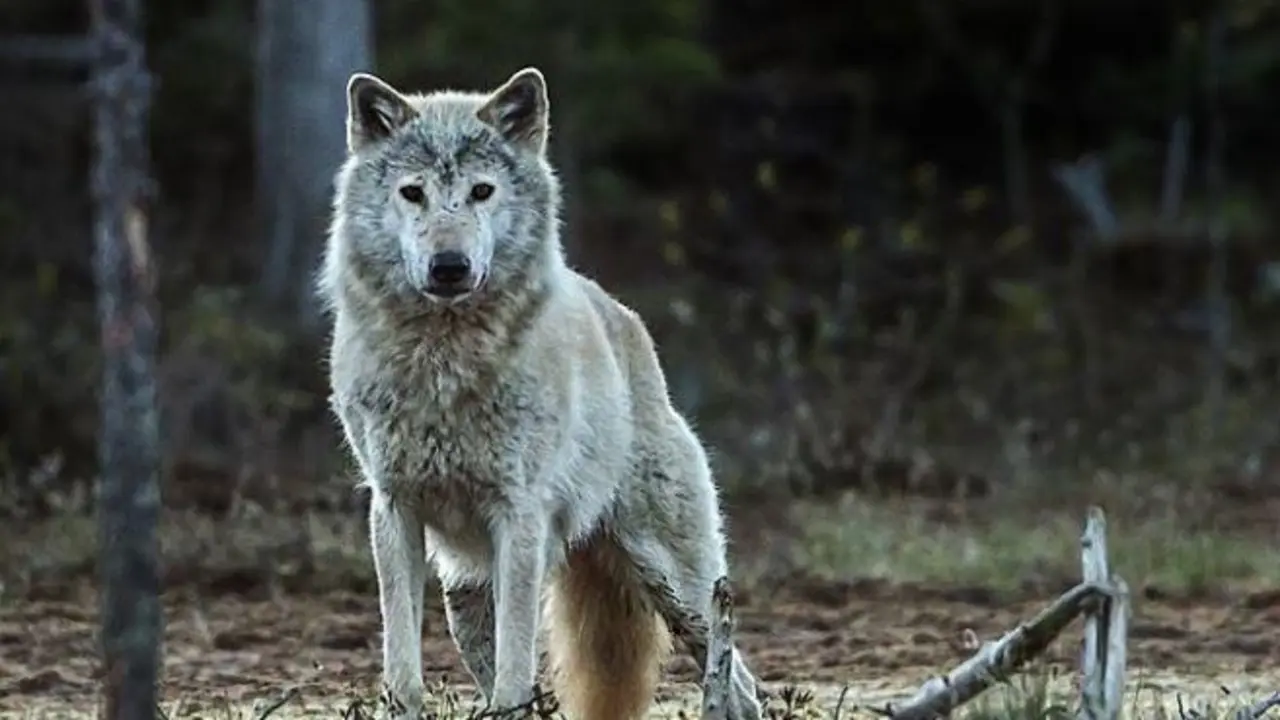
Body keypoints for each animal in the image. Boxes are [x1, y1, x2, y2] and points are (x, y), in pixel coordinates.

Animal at [317, 66, 764, 720]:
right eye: (412, 193)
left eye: (481, 191)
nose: (448, 265)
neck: (444, 364)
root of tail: (626, 320)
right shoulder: (393, 510)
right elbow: (402, 666)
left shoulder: (519, 515)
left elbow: (516, 669)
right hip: (466, 599)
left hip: (677, 584)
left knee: (740, 683)